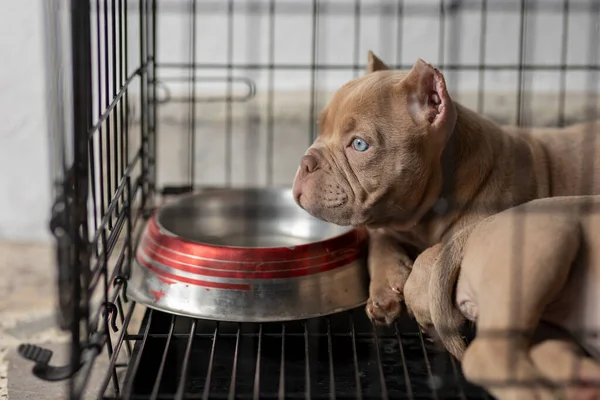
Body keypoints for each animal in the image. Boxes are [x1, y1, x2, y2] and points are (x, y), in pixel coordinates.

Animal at [292, 50, 600, 324]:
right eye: (320, 127)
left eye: (359, 144)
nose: (306, 162)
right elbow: (380, 240)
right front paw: (385, 286)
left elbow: (433, 254)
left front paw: (419, 298)